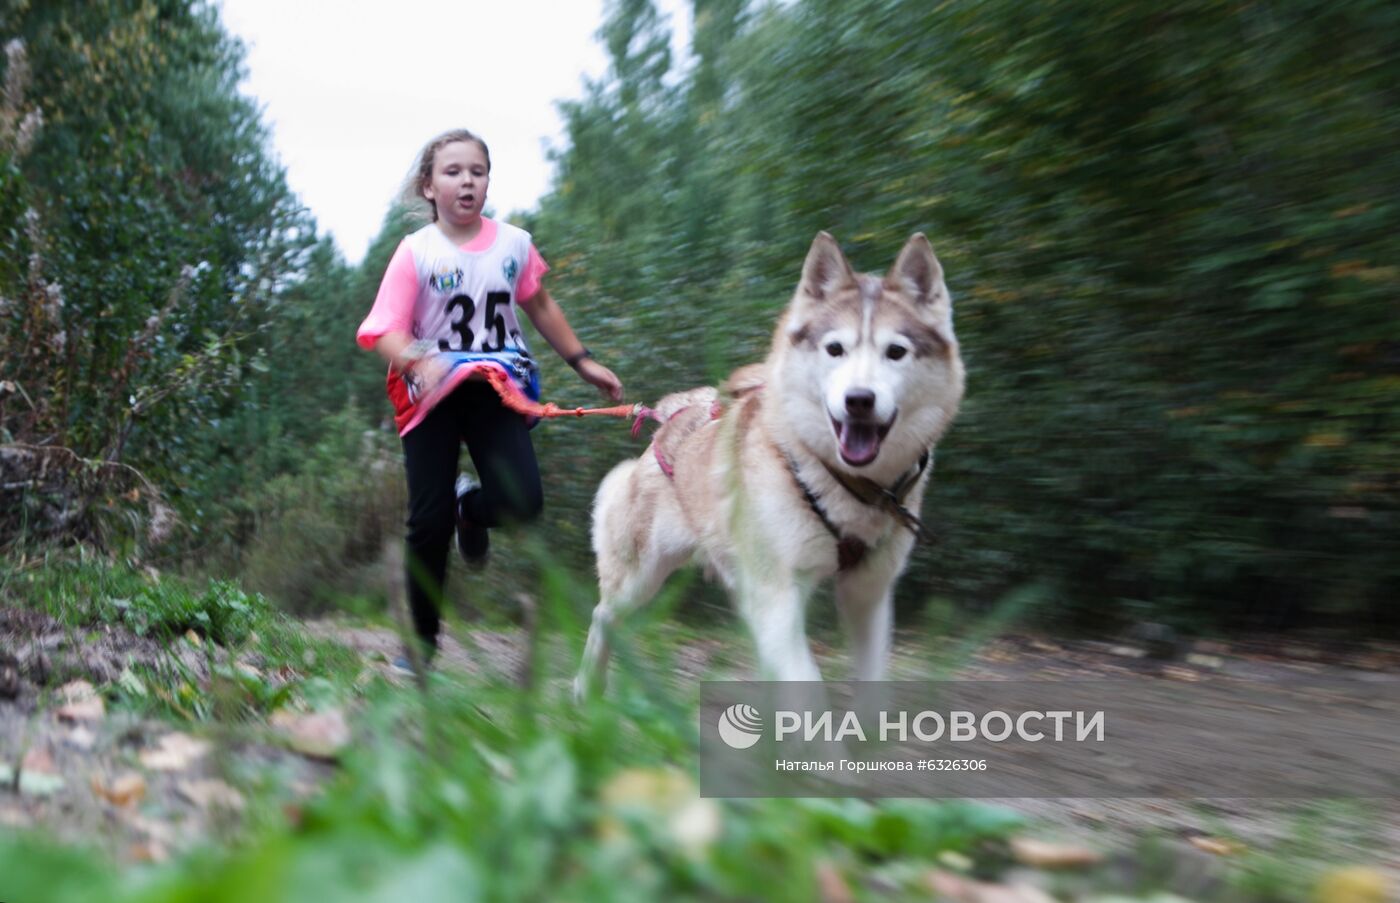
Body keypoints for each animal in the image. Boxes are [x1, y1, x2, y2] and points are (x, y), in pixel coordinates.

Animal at [574, 232, 968, 697]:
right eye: (835, 349)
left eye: (896, 352)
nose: (859, 399)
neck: (846, 485)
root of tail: (670, 418)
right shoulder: (777, 594)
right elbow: (807, 690)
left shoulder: (868, 594)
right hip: (641, 577)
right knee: (603, 616)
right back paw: (585, 691)